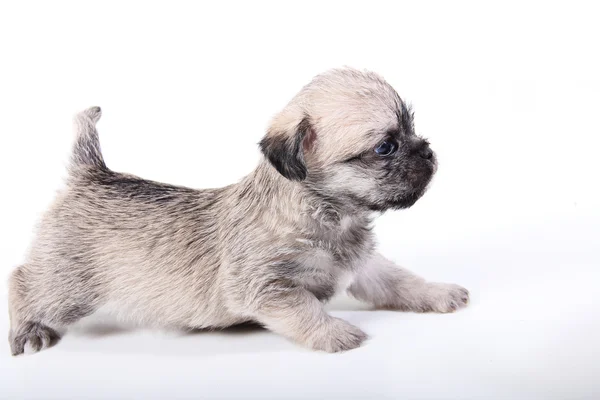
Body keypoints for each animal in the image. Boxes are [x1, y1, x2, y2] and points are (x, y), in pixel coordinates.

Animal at [8, 67, 468, 354]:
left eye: (412, 129)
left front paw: (439, 292)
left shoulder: (366, 268)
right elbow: (306, 308)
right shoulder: (268, 288)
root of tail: (91, 173)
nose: (427, 150)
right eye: (386, 147)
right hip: (68, 287)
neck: (327, 214)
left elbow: (402, 281)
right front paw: (334, 332)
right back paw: (28, 331)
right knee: (22, 282)